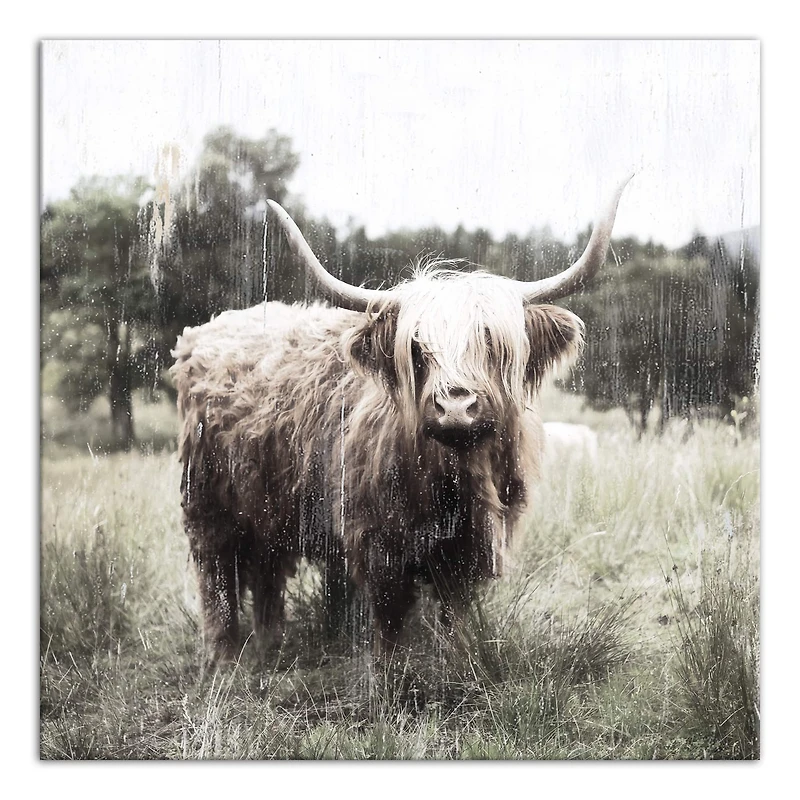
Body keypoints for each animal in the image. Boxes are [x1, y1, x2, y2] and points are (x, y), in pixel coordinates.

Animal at [171, 177, 632, 667]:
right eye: (416, 346)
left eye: (491, 342)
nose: (455, 407)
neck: (455, 478)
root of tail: (205, 331)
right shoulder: (379, 544)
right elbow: (389, 627)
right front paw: (389, 680)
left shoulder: (469, 552)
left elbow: (455, 619)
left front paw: (458, 666)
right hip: (207, 502)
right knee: (217, 577)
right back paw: (222, 662)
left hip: (267, 508)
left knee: (266, 575)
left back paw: (268, 648)